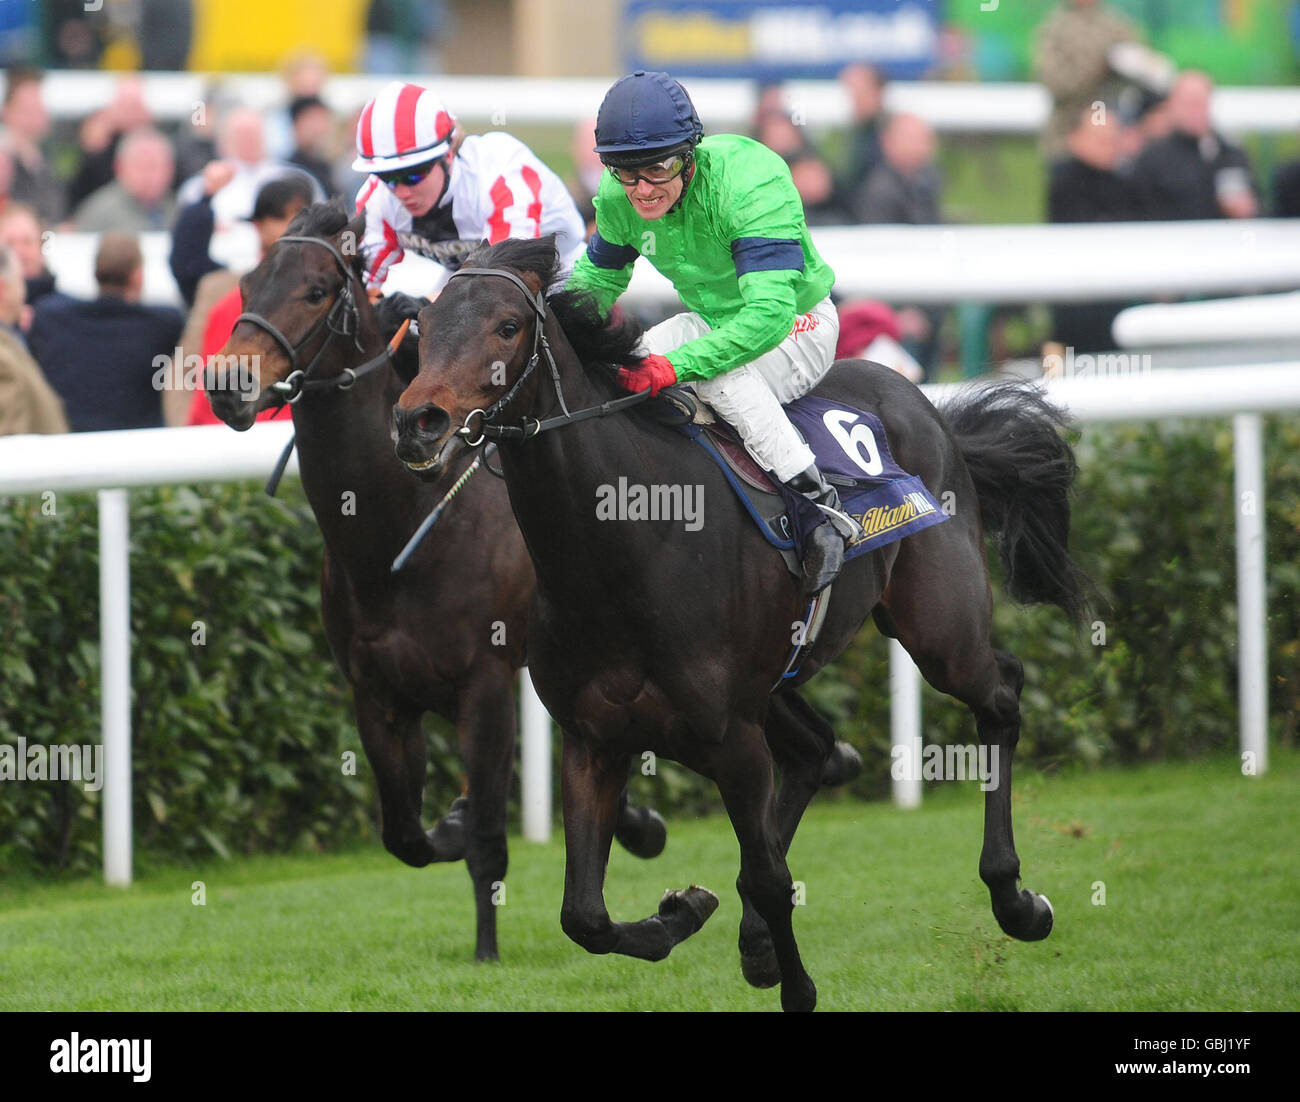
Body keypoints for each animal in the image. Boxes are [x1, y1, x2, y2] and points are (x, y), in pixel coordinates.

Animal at [205, 202, 670, 961]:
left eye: (314, 291)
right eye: (246, 283)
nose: (226, 382)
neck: (398, 532)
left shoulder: (485, 685)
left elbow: (486, 837)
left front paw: (486, 949)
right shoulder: (377, 692)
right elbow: (405, 835)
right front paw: (446, 824)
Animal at [387, 236, 1086, 1013]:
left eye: (507, 326)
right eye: (423, 324)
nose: (418, 422)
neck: (624, 544)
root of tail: (925, 404)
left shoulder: (731, 738)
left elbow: (770, 878)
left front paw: (794, 983)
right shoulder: (594, 740)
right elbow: (585, 916)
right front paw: (683, 912)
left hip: (939, 628)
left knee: (1001, 695)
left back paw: (1016, 900)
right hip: (778, 683)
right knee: (818, 750)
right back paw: (759, 940)